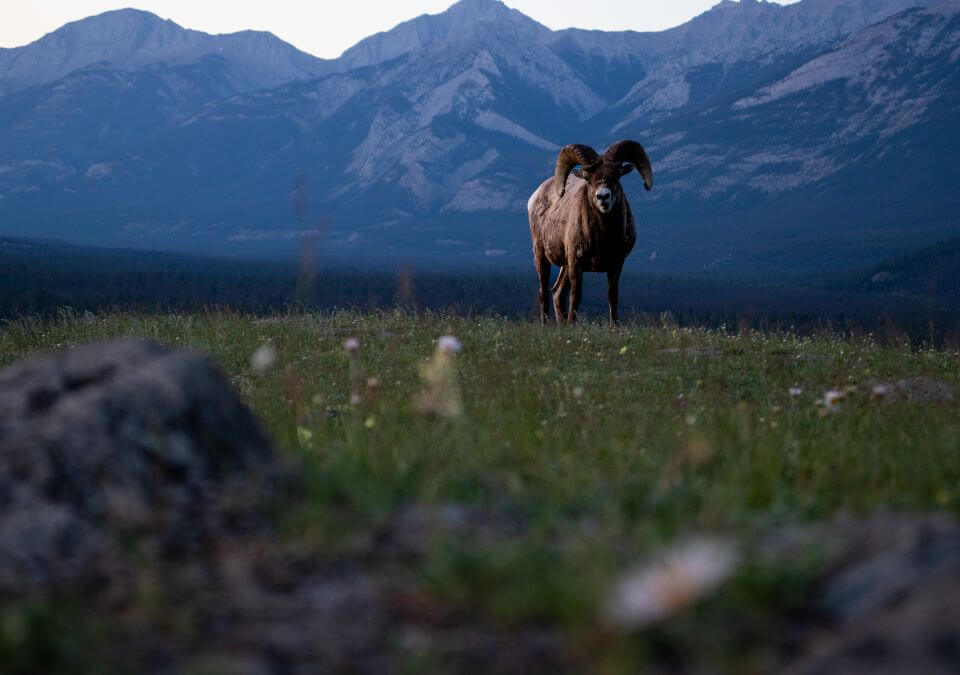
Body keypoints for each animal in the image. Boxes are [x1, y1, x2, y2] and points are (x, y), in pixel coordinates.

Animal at [524, 140, 652, 324]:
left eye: (616, 177)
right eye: (588, 179)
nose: (603, 196)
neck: (604, 238)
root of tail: (535, 196)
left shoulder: (616, 264)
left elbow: (612, 297)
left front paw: (615, 326)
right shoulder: (576, 263)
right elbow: (576, 297)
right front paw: (572, 325)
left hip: (564, 265)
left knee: (557, 292)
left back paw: (561, 325)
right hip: (542, 256)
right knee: (544, 293)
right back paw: (546, 325)